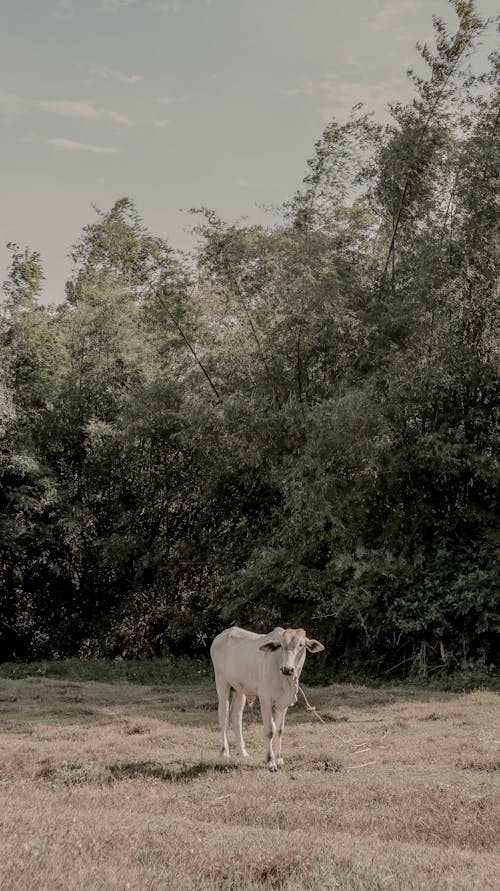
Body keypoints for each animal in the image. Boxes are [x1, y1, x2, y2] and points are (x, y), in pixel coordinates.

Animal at [210, 624, 324, 772]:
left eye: (301, 645)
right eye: (281, 645)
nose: (287, 669)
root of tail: (221, 635)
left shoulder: (283, 704)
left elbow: (280, 730)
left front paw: (279, 760)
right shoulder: (265, 699)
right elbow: (270, 730)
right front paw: (270, 762)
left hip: (239, 689)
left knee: (236, 716)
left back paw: (243, 752)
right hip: (221, 681)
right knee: (223, 715)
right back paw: (225, 752)